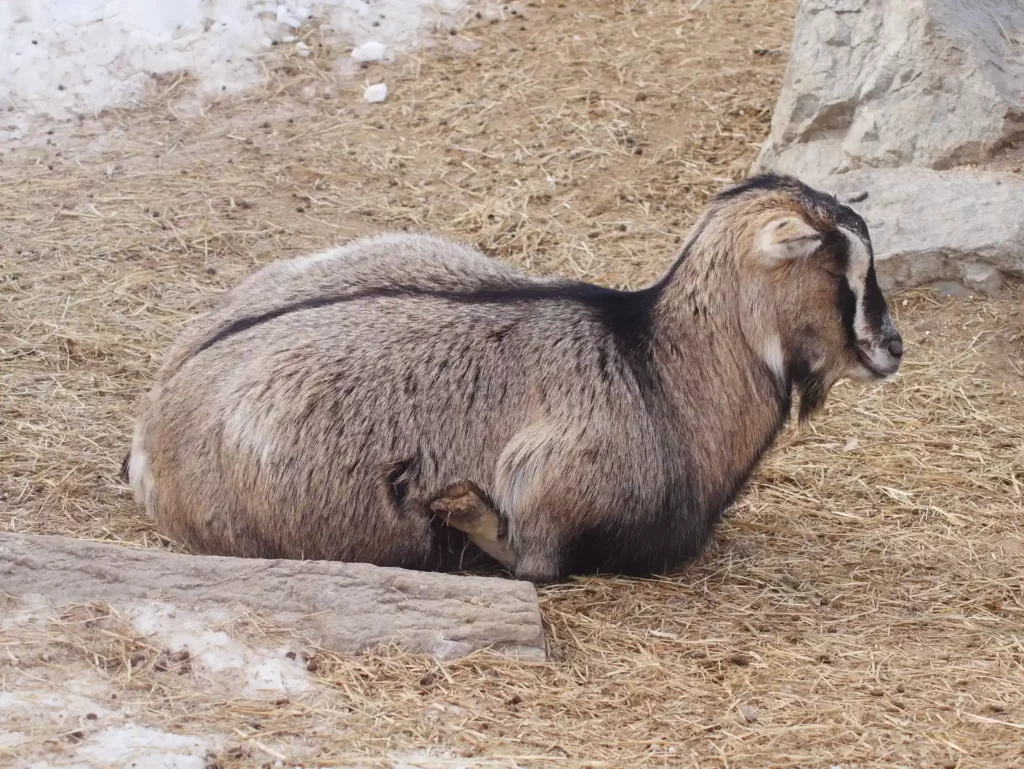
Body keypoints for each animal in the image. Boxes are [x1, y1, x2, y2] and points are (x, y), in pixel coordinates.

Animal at [124, 173, 903, 583]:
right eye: (845, 270)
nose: (892, 346)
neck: (655, 367)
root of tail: (152, 432)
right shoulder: (557, 496)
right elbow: (530, 558)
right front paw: (462, 509)